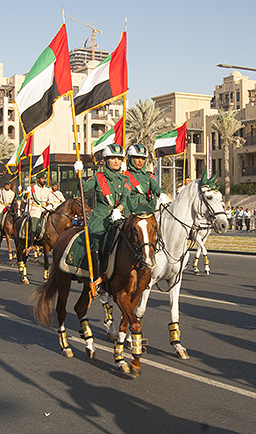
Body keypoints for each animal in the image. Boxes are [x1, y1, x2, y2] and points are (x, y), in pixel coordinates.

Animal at [33, 207, 159, 376]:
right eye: (134, 229)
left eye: (155, 227)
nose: (148, 260)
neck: (134, 262)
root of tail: (64, 234)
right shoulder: (120, 295)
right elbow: (135, 325)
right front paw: (134, 362)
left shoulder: (135, 296)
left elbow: (126, 325)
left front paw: (122, 359)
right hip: (63, 279)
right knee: (61, 310)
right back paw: (66, 346)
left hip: (88, 284)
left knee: (79, 308)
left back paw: (90, 345)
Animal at [128, 173, 228, 360]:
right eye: (209, 197)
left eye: (221, 198)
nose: (224, 224)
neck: (169, 238)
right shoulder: (147, 282)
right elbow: (140, 310)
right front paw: (131, 339)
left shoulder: (175, 280)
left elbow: (174, 311)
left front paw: (177, 345)